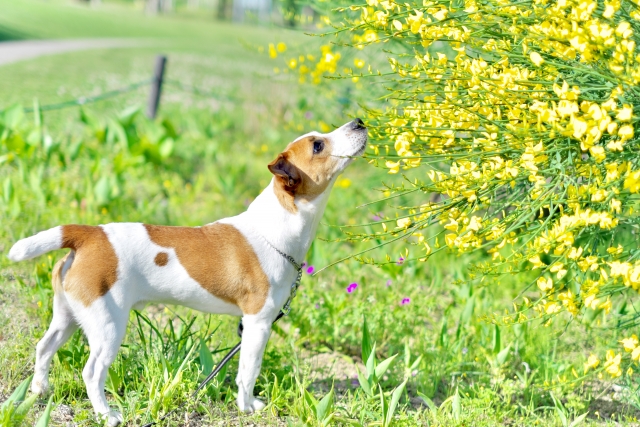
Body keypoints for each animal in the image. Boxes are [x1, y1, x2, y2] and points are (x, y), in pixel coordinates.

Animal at [7, 118, 368, 426]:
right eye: (318, 145)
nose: (359, 122)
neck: (275, 225)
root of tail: (90, 234)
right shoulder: (258, 323)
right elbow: (248, 371)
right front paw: (246, 406)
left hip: (68, 316)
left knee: (45, 347)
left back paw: (39, 389)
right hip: (108, 326)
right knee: (92, 372)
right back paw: (107, 414)